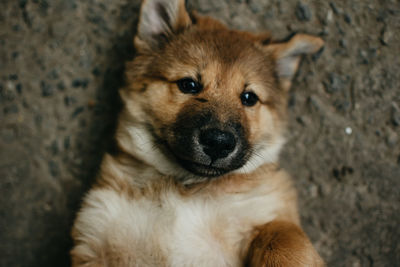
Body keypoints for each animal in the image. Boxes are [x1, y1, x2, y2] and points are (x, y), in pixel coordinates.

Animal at [70, 1, 324, 266]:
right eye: (189, 85)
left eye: (249, 97)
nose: (218, 143)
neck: (185, 189)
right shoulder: (96, 230)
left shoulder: (268, 210)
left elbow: (284, 236)